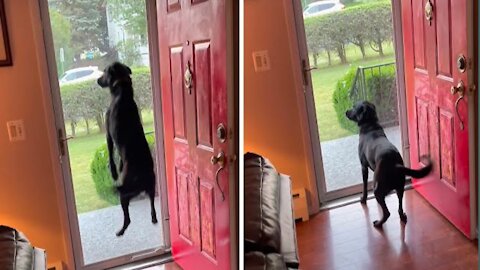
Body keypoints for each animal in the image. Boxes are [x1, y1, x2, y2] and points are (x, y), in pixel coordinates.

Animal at [97, 61, 158, 236]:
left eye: (104, 72)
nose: (97, 80)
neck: (122, 89)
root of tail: (142, 179)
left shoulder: (108, 135)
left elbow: (111, 154)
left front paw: (114, 171)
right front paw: (119, 166)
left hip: (124, 194)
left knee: (128, 218)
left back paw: (121, 231)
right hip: (152, 188)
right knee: (152, 206)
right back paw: (154, 218)